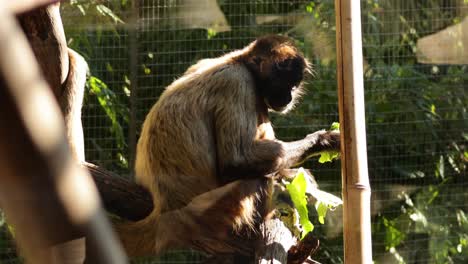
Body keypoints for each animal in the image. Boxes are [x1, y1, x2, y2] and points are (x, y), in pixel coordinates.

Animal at [117, 34, 340, 256]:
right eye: (285, 84)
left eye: (294, 86)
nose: (290, 97)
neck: (237, 60)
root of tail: (167, 207)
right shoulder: (239, 81)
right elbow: (236, 162)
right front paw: (321, 141)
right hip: (221, 207)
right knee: (255, 178)